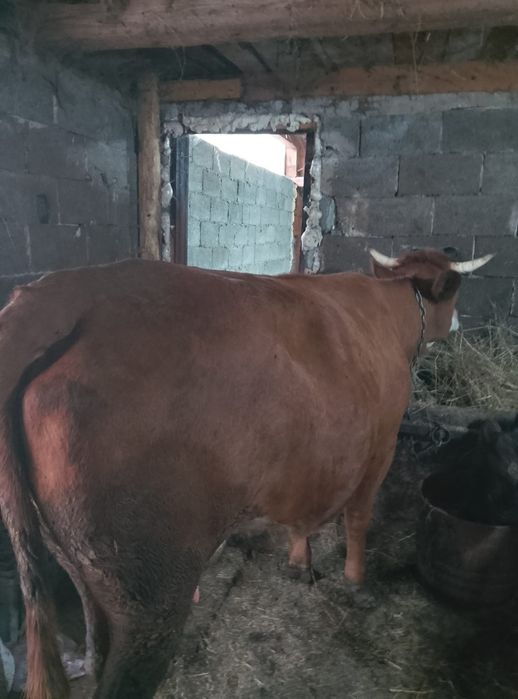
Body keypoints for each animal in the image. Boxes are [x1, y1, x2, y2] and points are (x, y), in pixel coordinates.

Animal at [0, 248, 492, 699]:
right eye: (455, 289)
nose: (459, 323)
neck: (390, 311)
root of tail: (58, 296)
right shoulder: (382, 442)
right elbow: (357, 519)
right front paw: (355, 581)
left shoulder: (311, 460)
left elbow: (304, 515)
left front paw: (299, 562)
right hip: (150, 591)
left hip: (79, 567)